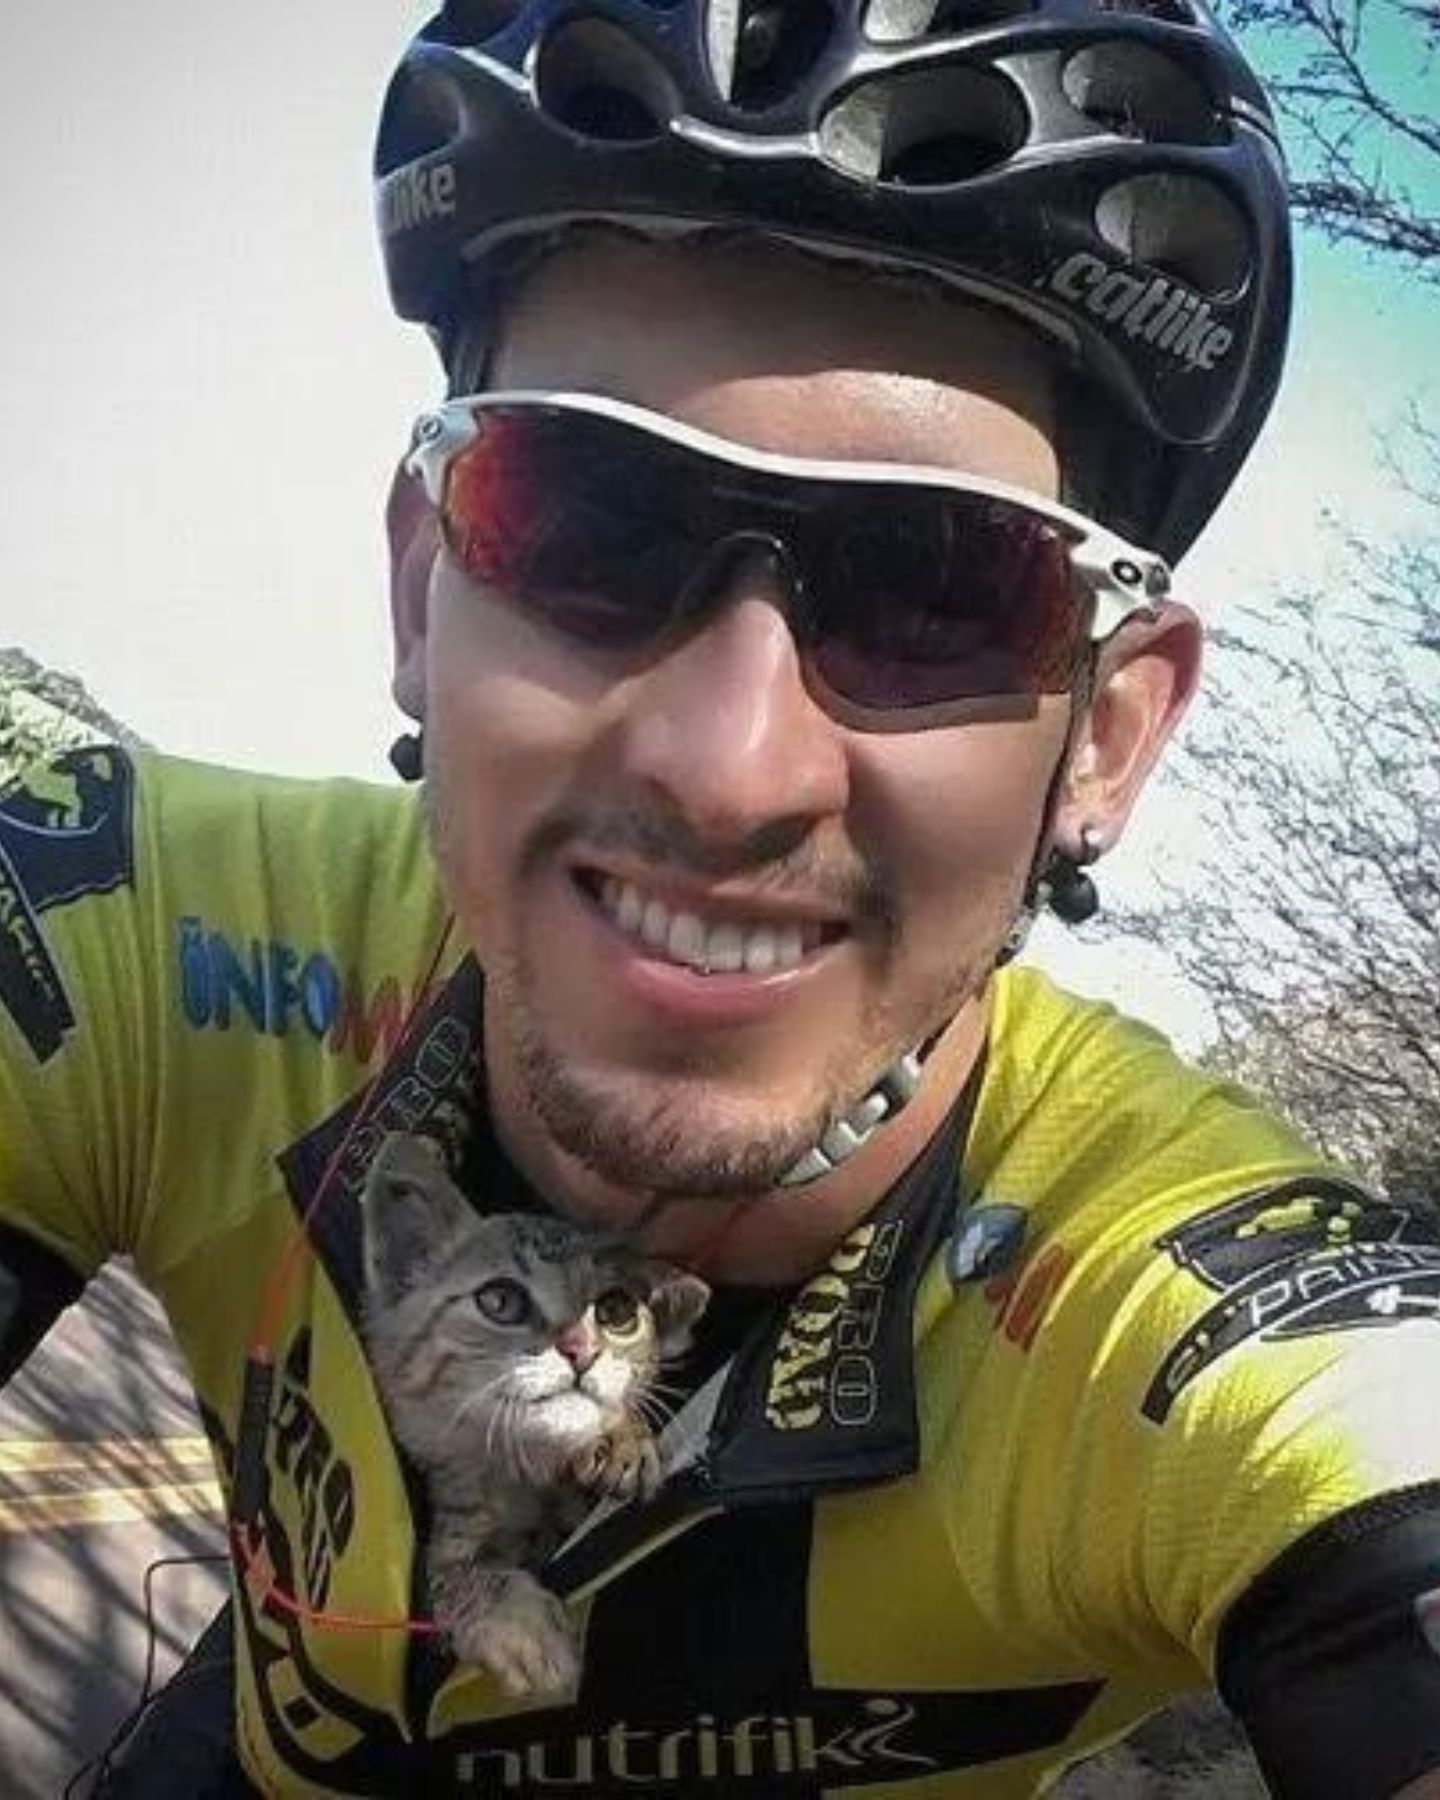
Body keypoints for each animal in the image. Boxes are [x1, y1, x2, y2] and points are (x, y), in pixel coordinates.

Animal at [360, 1137, 709, 1699]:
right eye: (500, 1299)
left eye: (616, 1310)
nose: (580, 1349)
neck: (532, 1473)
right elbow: (452, 1571)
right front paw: (515, 1622)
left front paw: (622, 1438)